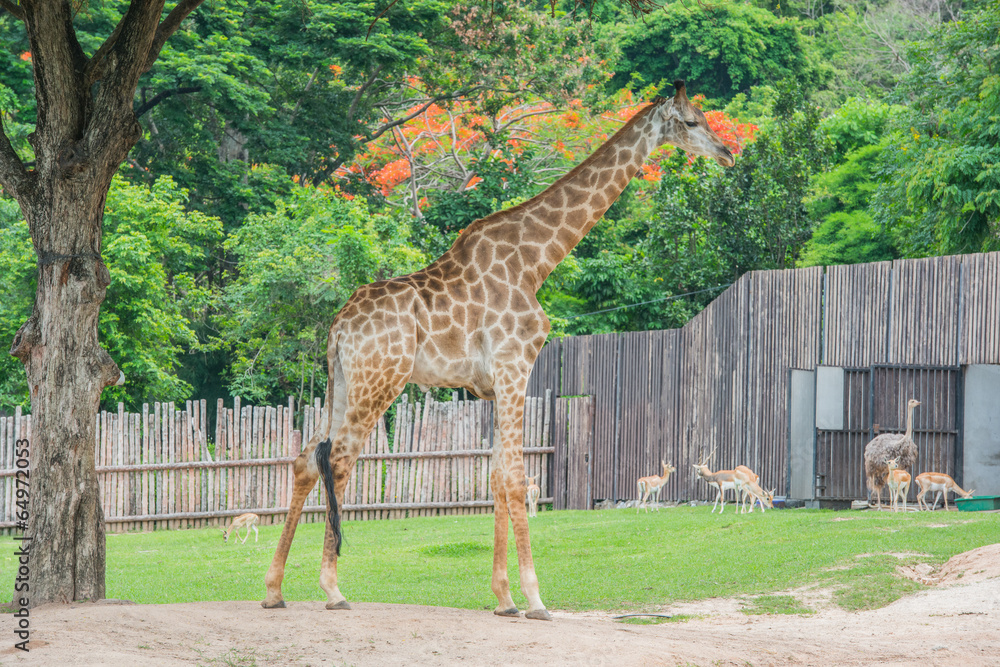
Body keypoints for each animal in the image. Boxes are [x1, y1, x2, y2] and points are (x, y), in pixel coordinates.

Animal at [262, 82, 740, 620]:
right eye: (693, 121)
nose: (728, 153)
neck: (537, 260)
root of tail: (338, 326)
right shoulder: (516, 366)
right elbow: (514, 477)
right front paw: (534, 598)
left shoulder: (491, 386)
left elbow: (493, 476)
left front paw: (504, 599)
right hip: (380, 380)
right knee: (340, 460)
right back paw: (331, 588)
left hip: (342, 381)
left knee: (305, 458)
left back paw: (274, 589)